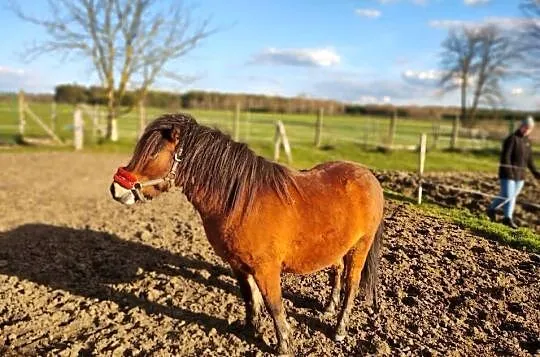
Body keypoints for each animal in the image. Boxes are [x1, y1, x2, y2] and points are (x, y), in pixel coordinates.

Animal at [108, 113, 384, 354]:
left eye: (153, 154)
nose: (116, 189)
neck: (242, 203)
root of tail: (369, 176)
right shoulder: (238, 265)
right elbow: (250, 299)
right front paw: (251, 329)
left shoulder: (266, 269)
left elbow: (274, 306)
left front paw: (284, 345)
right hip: (337, 247)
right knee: (336, 272)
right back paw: (328, 308)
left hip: (360, 247)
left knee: (351, 285)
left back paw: (339, 329)